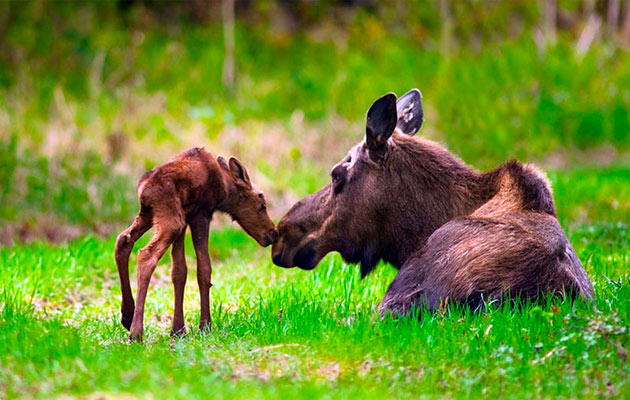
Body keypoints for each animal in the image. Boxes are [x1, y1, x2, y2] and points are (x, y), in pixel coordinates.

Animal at [116, 148, 278, 342]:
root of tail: (143, 189)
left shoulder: (186, 217)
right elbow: (204, 269)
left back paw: (127, 315)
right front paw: (205, 325)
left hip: (151, 215)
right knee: (146, 255)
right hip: (171, 220)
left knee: (123, 240)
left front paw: (178, 330)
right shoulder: (201, 214)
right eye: (262, 204)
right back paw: (136, 332)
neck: (224, 190)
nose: (274, 233)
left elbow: (179, 272)